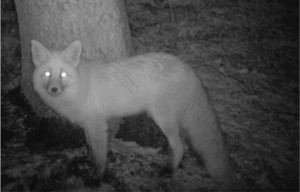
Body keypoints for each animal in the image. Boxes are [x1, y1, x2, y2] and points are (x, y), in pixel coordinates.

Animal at [31, 39, 236, 188]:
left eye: (63, 75)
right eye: (47, 74)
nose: (54, 90)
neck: (80, 86)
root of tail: (186, 67)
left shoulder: (98, 125)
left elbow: (100, 154)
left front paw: (97, 177)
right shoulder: (87, 125)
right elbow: (89, 147)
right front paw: (88, 162)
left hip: (162, 118)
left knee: (180, 146)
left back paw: (169, 170)